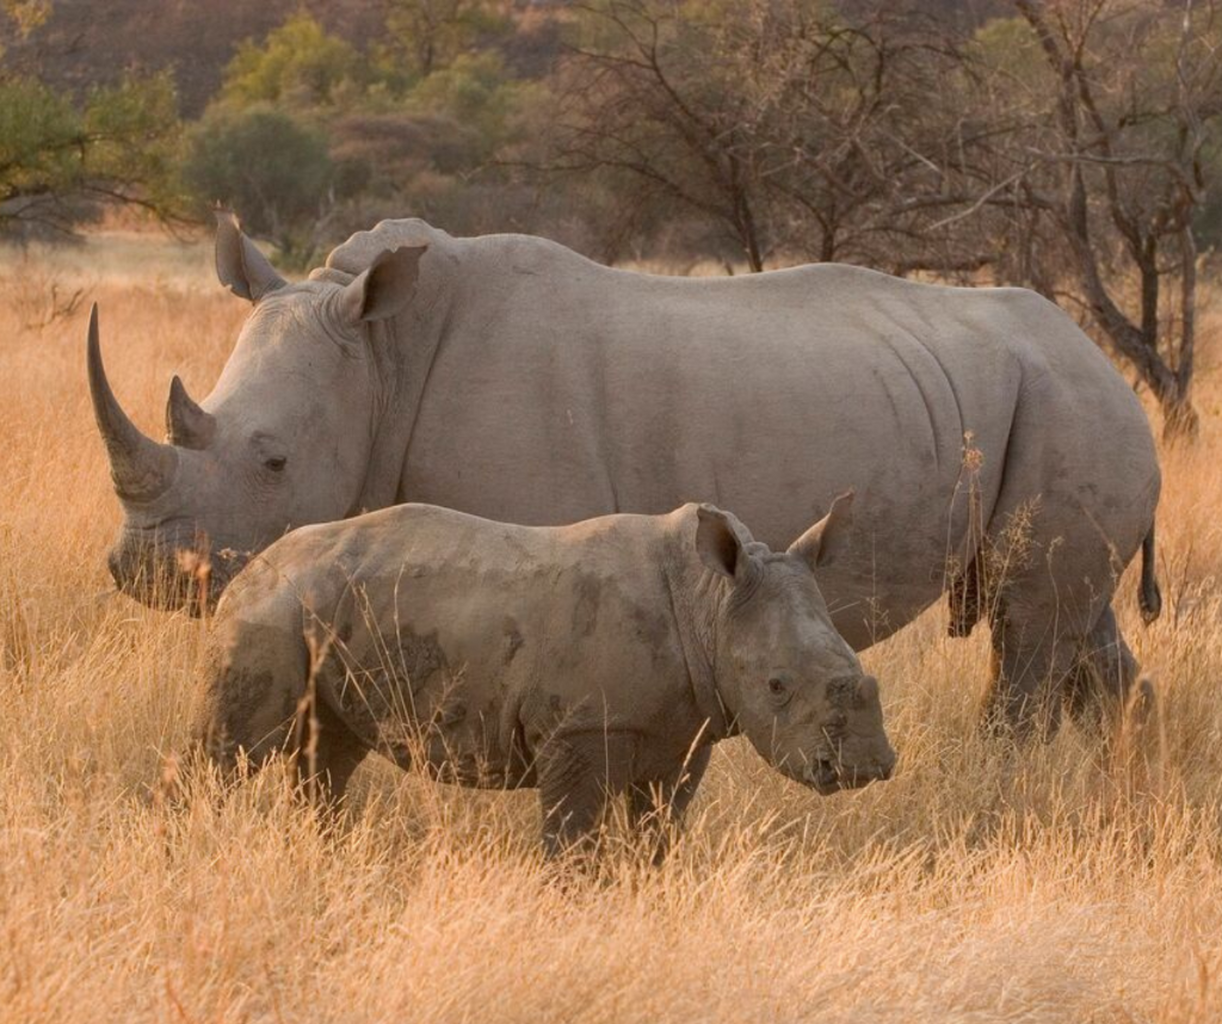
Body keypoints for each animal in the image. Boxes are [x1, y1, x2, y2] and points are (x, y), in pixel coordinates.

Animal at [90, 215, 1161, 735]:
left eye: (272, 461)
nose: (140, 572)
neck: (381, 355)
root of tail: (1114, 372)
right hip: (1061, 405)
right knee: (1078, 627)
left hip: (1074, 405)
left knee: (1031, 629)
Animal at [194, 495, 894, 857]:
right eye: (777, 686)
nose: (866, 767)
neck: (711, 604)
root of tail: (249, 566)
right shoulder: (580, 728)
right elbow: (571, 837)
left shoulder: (683, 731)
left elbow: (658, 829)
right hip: (271, 611)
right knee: (232, 754)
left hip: (321, 607)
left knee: (330, 752)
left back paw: (328, 853)